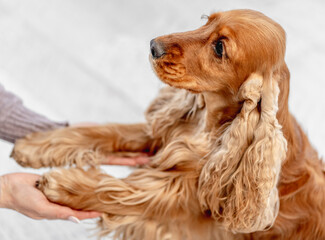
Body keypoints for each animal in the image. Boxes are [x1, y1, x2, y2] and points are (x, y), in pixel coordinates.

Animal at [10, 8, 324, 239]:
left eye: (219, 47)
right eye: (205, 20)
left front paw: (65, 185)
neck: (210, 125)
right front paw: (35, 145)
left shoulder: (184, 201)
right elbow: (103, 131)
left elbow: (126, 193)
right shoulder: (166, 136)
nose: (153, 46)